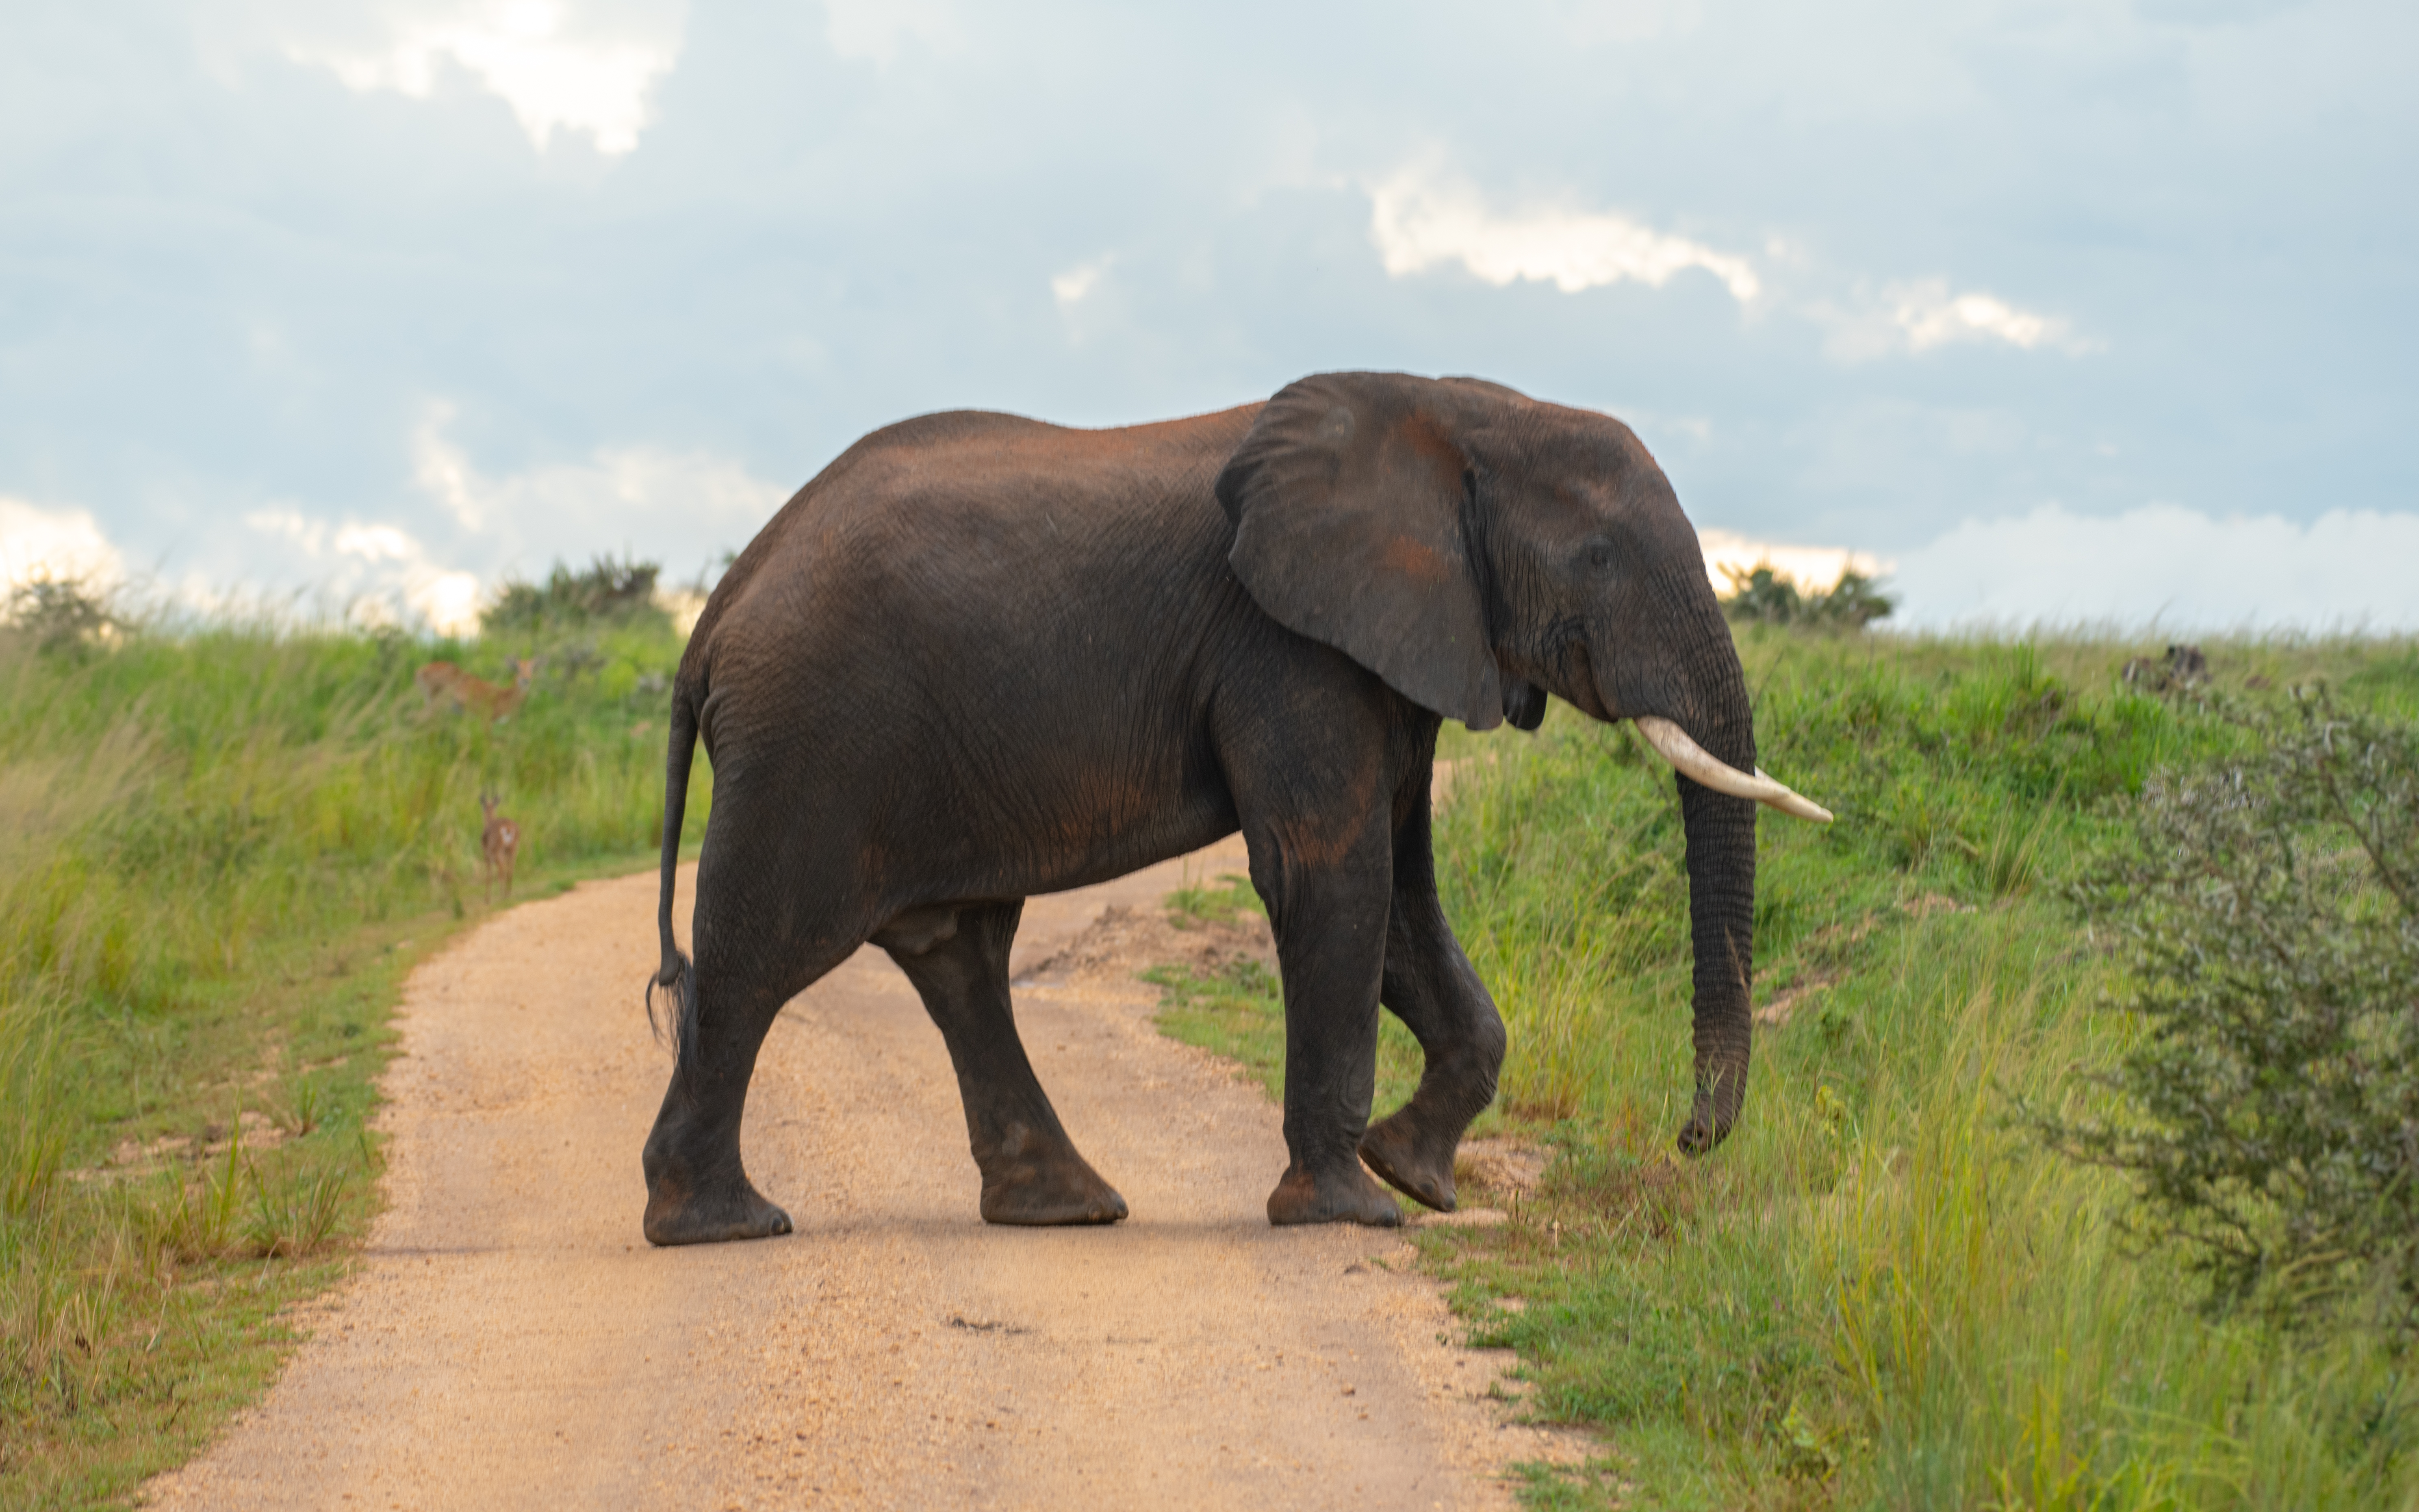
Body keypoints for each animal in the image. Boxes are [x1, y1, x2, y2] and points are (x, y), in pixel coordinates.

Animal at [476, 798, 520, 900]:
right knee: (510, 870)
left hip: (499, 851)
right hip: (513, 849)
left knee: (502, 869)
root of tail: (508, 828)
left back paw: (502, 896)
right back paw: (508, 894)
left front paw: (487, 899)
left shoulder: (487, 855)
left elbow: (489, 875)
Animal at [643, 372, 1829, 1248]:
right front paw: (1354, 1211)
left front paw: (1415, 1175)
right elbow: (1332, 877)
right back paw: (722, 1225)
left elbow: (1401, 897)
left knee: (959, 954)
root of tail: (714, 619)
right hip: (811, 740)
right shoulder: (1285, 644)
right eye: (1595, 556)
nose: (1688, 1137)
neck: (1461, 406)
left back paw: (1067, 1208)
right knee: (760, 955)